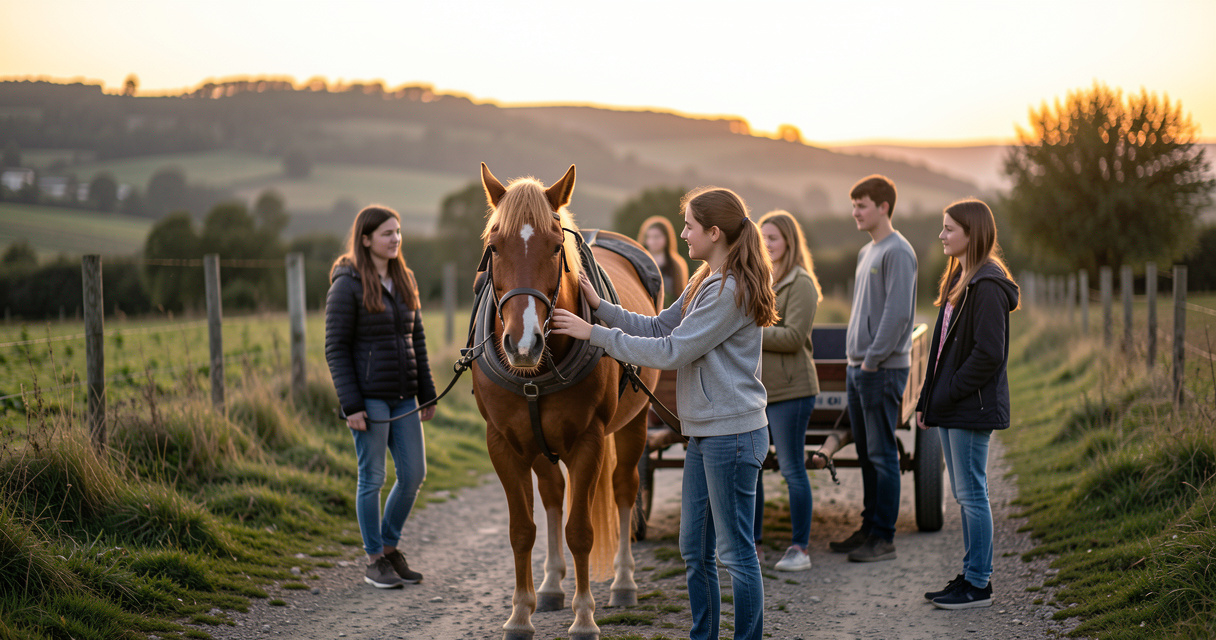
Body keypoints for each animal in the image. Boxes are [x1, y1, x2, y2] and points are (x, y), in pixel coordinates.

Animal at [472, 163, 660, 640]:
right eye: (493, 247)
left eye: (556, 247)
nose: (522, 344)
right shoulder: (504, 443)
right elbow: (523, 529)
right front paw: (521, 615)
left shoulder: (588, 441)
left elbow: (580, 531)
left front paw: (585, 618)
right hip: (538, 442)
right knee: (554, 494)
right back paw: (553, 586)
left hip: (634, 424)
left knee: (624, 488)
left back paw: (623, 583)